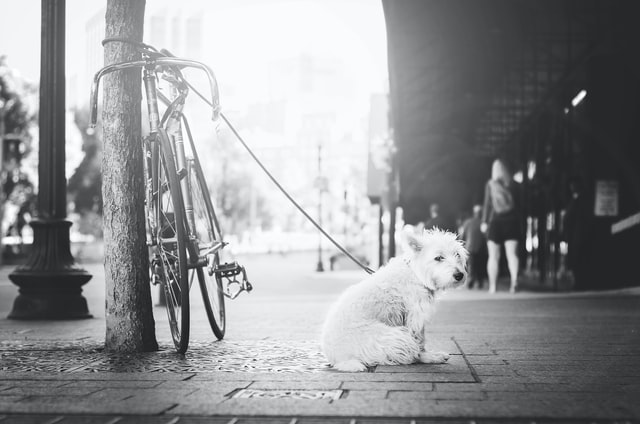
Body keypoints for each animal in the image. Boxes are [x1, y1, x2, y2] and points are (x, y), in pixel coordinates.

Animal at [322, 229, 468, 372]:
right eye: (438, 258)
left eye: (457, 254)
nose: (459, 275)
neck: (416, 274)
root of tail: (339, 360)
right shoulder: (415, 317)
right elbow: (420, 341)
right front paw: (428, 355)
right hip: (397, 337)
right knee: (408, 355)